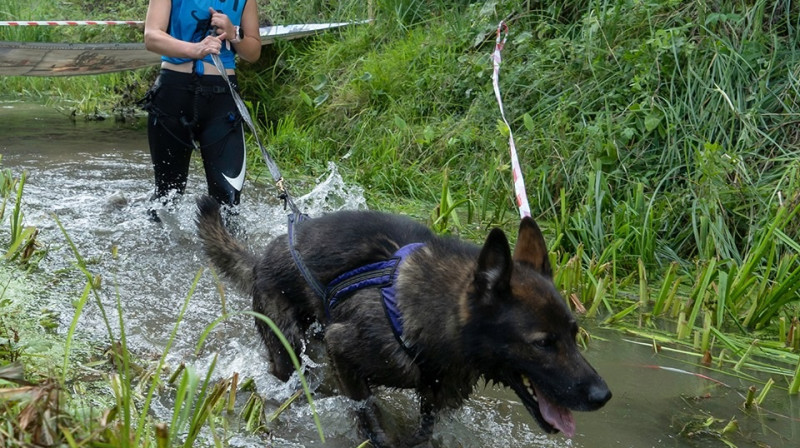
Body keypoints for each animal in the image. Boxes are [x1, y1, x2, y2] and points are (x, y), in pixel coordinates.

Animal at [195, 197, 612, 448]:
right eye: (542, 343)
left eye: (574, 334)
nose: (602, 395)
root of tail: (262, 258)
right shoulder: (344, 346)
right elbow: (368, 414)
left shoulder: (437, 399)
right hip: (288, 348)